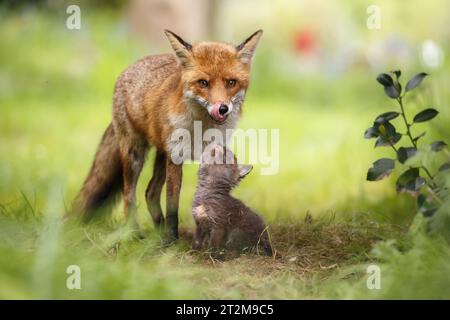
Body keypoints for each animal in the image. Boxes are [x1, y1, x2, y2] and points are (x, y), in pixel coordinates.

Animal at [73, 29, 264, 240]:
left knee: (150, 192)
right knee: (129, 195)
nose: (222, 109)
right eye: (203, 83)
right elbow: (173, 205)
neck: (201, 128)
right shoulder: (176, 157)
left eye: (231, 82)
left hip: (161, 155)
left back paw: (157, 230)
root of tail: (128, 69)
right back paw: (135, 234)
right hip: (136, 155)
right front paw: (171, 240)